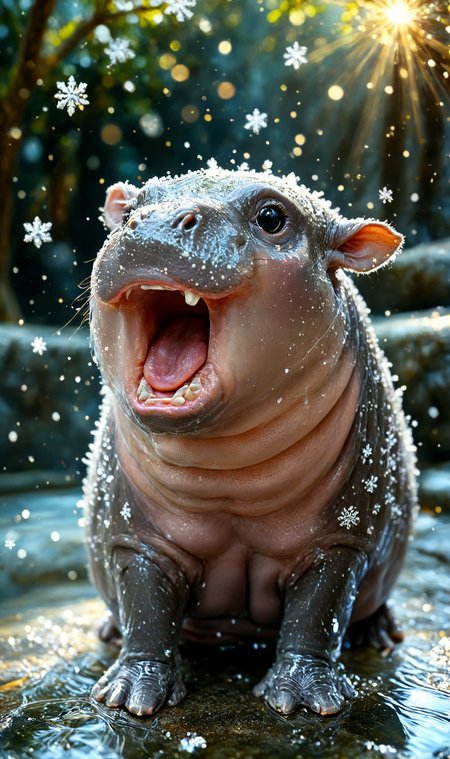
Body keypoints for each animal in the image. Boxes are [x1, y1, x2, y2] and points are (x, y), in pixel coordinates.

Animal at [84, 166, 417, 718]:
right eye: (130, 208)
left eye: (272, 217)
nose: (149, 223)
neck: (229, 478)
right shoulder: (135, 535)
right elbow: (145, 606)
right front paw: (127, 698)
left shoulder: (341, 539)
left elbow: (318, 611)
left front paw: (304, 701)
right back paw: (108, 632)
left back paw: (382, 635)